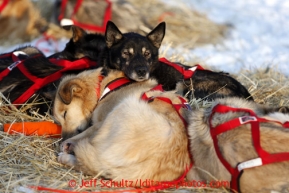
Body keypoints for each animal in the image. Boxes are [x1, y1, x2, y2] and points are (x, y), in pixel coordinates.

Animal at [54, 68, 191, 182]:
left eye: (65, 114)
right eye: (58, 122)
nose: (63, 138)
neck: (104, 86)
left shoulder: (100, 121)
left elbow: (85, 133)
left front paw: (67, 143)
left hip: (123, 107)